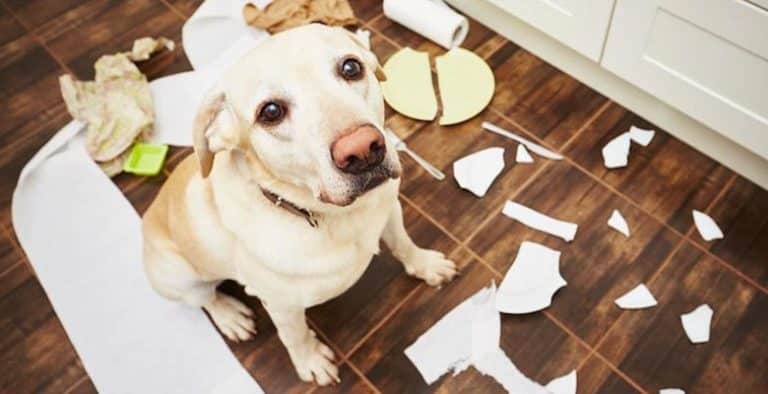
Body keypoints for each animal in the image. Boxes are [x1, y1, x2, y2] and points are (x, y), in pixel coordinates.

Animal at [141, 24, 456, 384]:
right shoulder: (282, 306)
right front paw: (310, 362)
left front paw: (426, 265)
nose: (362, 150)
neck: (335, 216)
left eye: (351, 67)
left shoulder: (390, 212)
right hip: (180, 276)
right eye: (271, 112)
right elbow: (295, 336)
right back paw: (230, 316)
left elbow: (404, 243)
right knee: (205, 300)